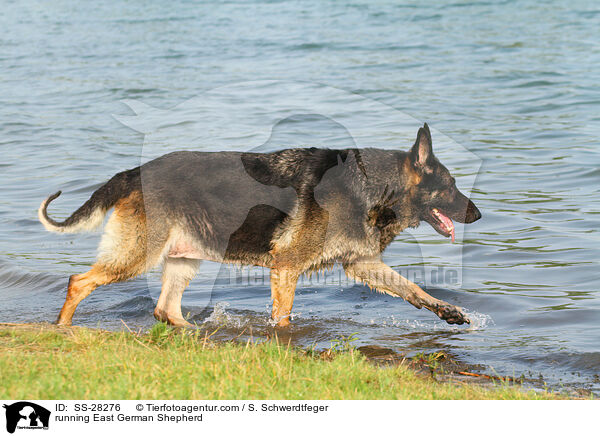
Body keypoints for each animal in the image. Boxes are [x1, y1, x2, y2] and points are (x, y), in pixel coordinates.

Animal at [38, 122, 478, 328]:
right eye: (451, 187)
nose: (478, 214)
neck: (373, 186)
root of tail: (135, 171)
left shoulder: (363, 265)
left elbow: (413, 290)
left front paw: (449, 311)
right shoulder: (286, 269)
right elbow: (282, 317)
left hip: (183, 261)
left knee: (165, 310)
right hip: (136, 257)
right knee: (78, 281)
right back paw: (61, 329)